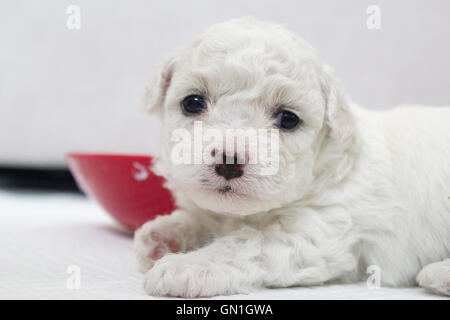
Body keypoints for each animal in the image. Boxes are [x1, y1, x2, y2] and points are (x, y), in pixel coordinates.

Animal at [134, 17, 450, 298]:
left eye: (288, 119)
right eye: (193, 102)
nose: (228, 161)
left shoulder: (315, 231)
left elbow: (243, 242)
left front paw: (188, 265)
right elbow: (207, 219)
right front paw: (163, 235)